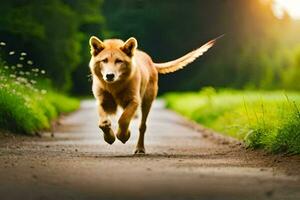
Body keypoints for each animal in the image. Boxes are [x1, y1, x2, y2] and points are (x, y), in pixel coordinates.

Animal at [88, 35, 219, 153]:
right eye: (104, 60)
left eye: (119, 61)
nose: (109, 76)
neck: (114, 86)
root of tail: (151, 61)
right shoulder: (102, 101)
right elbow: (103, 123)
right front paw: (109, 138)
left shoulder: (134, 100)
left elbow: (123, 119)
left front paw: (124, 136)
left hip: (147, 101)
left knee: (142, 126)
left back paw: (140, 148)